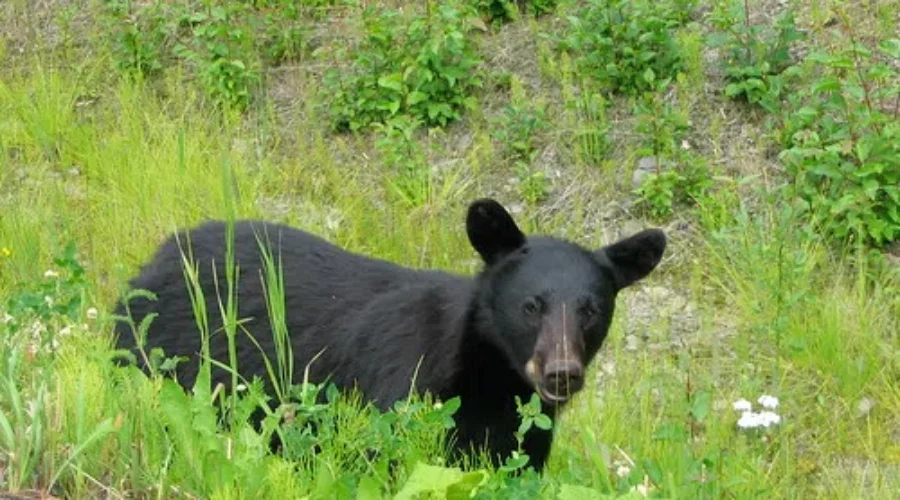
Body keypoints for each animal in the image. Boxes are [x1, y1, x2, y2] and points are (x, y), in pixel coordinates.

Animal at [112, 198, 666, 472]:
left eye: (592, 310)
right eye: (531, 305)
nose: (561, 374)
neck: (489, 378)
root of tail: (156, 257)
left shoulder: (519, 435)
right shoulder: (402, 390)